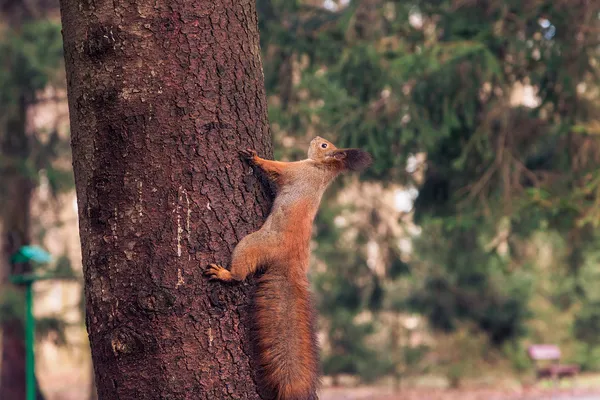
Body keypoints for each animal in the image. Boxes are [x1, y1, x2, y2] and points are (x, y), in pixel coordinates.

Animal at [205, 136, 370, 398]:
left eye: (324, 146)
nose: (316, 138)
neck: (321, 170)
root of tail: (291, 262)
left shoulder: (294, 171)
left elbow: (275, 168)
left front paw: (255, 158)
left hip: (253, 244)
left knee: (240, 273)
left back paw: (225, 274)